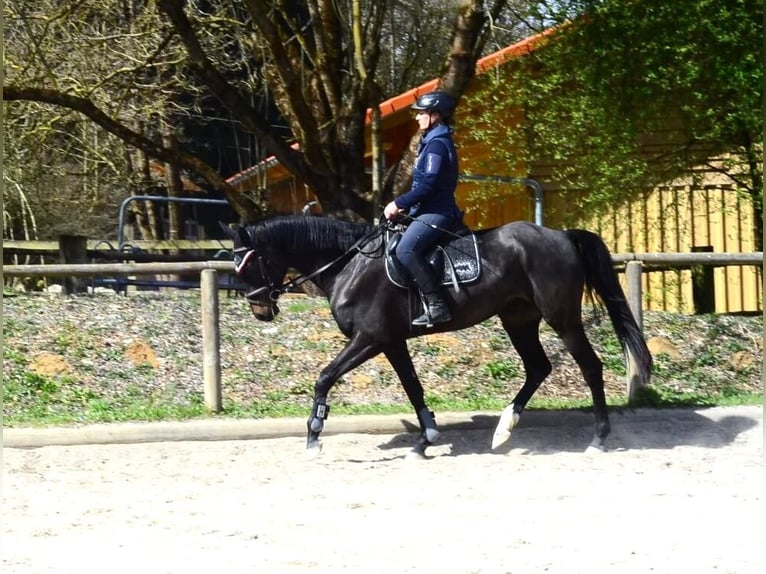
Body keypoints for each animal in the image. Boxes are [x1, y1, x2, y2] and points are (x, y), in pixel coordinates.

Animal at [222, 215, 653, 458]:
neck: (350, 264)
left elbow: (324, 378)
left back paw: (598, 438)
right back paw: (504, 428)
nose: (259, 309)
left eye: (250, 262)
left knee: (590, 367)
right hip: (518, 319)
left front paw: (314, 436)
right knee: (538, 368)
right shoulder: (390, 342)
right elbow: (413, 388)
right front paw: (426, 438)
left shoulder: (369, 339)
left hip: (561, 318)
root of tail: (561, 235)